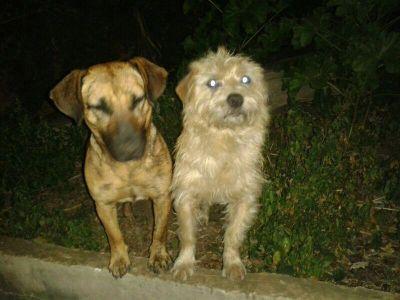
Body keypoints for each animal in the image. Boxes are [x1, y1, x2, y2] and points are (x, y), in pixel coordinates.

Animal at [49, 57, 172, 278]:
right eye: (99, 107)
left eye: (138, 100)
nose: (131, 149)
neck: (128, 168)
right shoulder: (103, 204)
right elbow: (114, 235)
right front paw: (119, 259)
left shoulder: (162, 196)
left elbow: (159, 231)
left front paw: (158, 256)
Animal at [170, 47, 270, 282]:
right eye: (213, 83)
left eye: (245, 79)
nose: (236, 99)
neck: (224, 137)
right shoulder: (185, 193)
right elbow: (187, 235)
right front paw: (184, 263)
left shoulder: (245, 197)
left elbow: (233, 234)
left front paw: (232, 263)